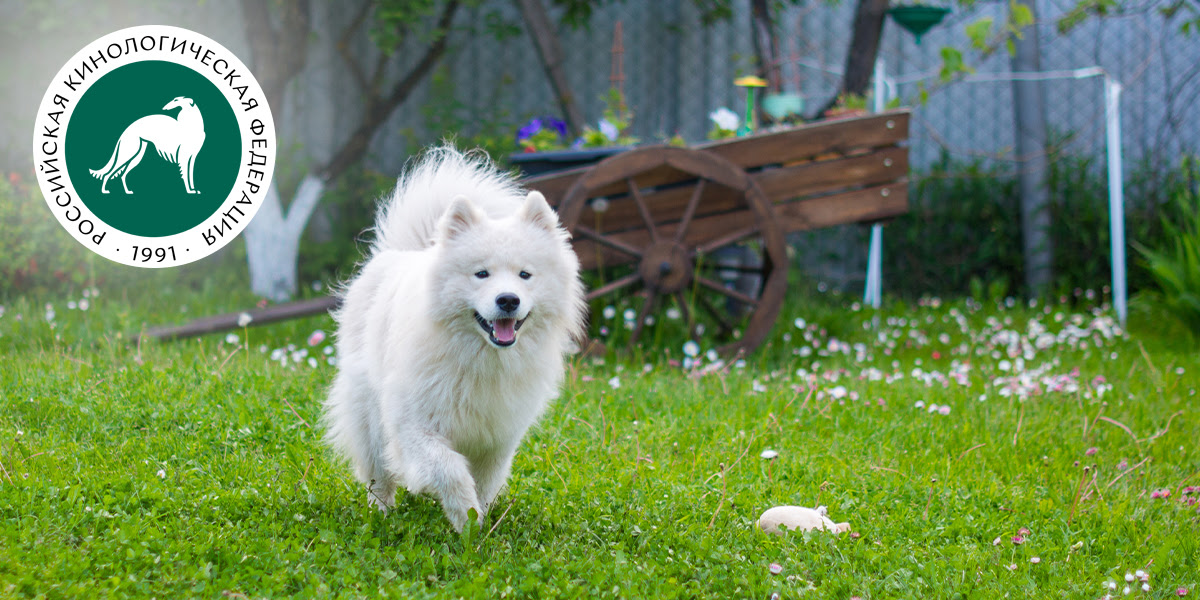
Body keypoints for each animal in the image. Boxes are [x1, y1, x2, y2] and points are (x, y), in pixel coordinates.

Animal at [324, 147, 585, 532]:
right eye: (481, 274)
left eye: (525, 275)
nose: (508, 299)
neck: (481, 358)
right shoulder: (415, 425)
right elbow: (450, 470)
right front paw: (467, 520)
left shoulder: (498, 437)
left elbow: (486, 482)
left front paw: (479, 522)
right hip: (368, 416)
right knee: (378, 476)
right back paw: (382, 514)